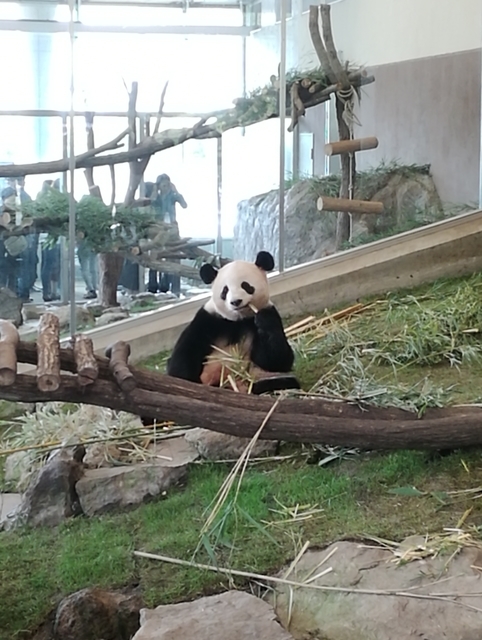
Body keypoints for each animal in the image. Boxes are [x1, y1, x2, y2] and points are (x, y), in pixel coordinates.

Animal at [166, 251, 300, 394]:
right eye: (225, 290)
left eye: (246, 285)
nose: (236, 301)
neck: (238, 319)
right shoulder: (208, 319)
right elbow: (186, 351)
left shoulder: (268, 313)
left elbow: (277, 360)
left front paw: (264, 320)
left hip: (258, 376)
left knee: (284, 381)